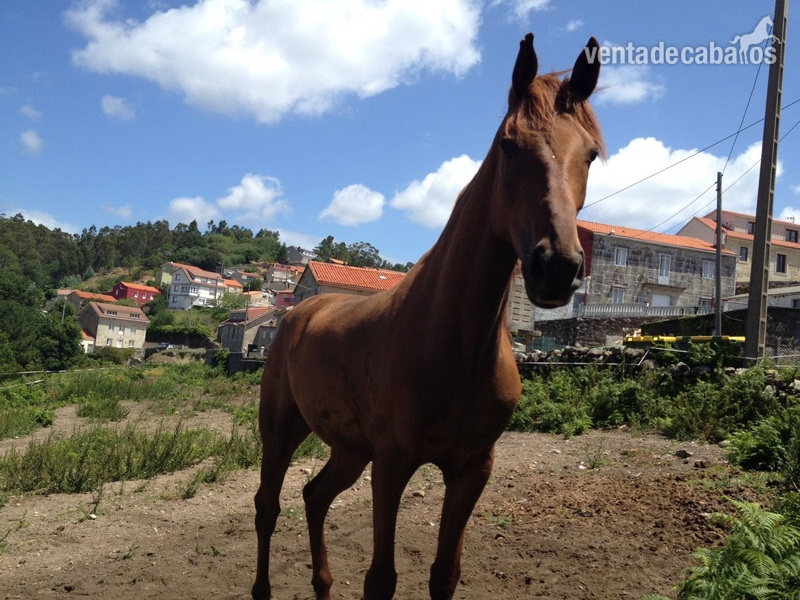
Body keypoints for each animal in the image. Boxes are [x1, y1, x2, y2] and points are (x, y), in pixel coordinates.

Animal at [253, 32, 605, 600]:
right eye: (508, 144)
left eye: (591, 154)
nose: (557, 267)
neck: (454, 343)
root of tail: (295, 314)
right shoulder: (392, 464)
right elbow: (381, 578)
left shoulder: (471, 469)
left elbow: (445, 574)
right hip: (281, 430)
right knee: (268, 506)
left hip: (349, 450)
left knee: (314, 497)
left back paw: (323, 583)